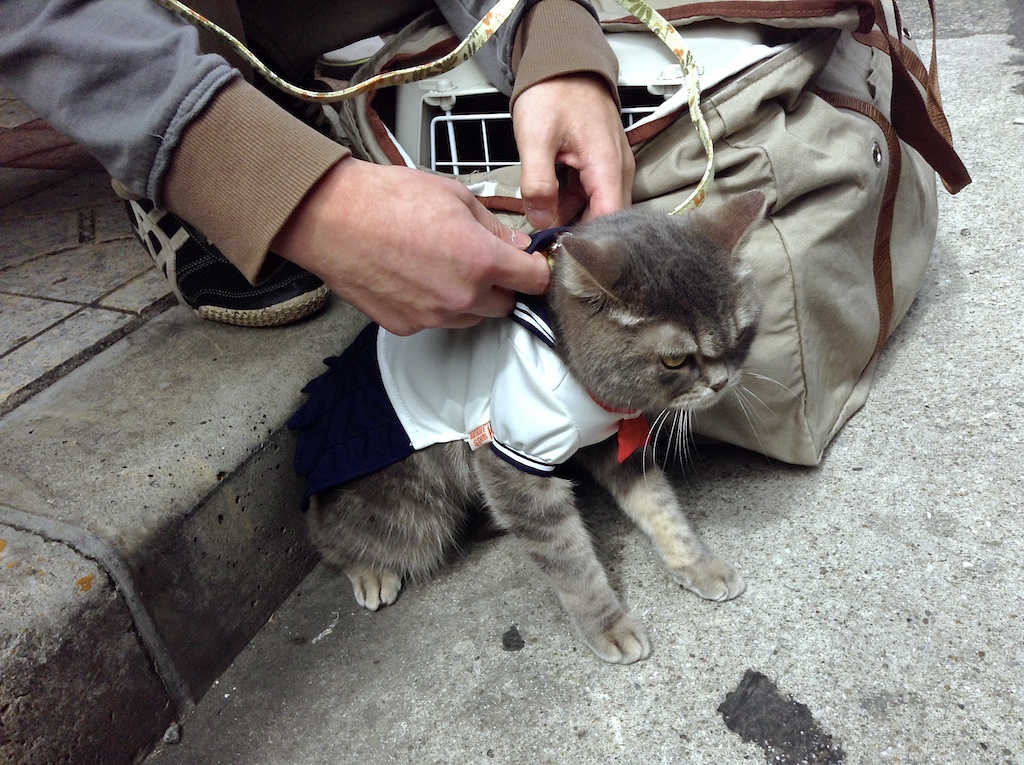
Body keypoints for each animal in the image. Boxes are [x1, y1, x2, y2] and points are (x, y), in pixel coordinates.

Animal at [307, 190, 765, 663]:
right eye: (674, 360)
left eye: (741, 335)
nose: (721, 382)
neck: (569, 364)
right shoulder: (514, 463)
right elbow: (570, 561)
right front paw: (608, 624)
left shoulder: (609, 442)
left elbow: (660, 508)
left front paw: (696, 562)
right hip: (407, 510)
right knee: (329, 533)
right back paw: (370, 571)